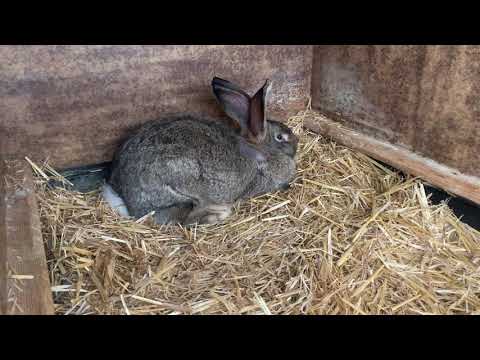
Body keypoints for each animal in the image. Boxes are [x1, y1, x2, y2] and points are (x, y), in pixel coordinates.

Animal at [103, 76, 298, 225]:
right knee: (178, 219)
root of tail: (123, 196)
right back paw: (216, 215)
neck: (259, 150)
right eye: (280, 137)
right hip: (181, 188)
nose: (296, 142)